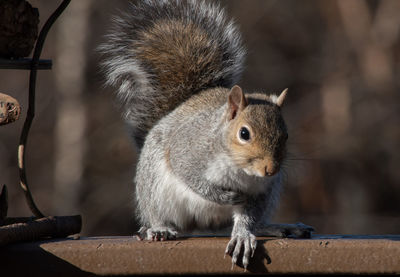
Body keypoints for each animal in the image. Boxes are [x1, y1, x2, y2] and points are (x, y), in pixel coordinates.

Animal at [99, 0, 312, 268]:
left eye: (286, 136)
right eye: (244, 133)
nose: (270, 170)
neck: (237, 167)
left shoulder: (262, 191)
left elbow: (247, 216)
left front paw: (243, 235)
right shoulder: (189, 151)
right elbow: (190, 176)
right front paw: (223, 196)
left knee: (235, 226)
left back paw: (274, 227)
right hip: (153, 188)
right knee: (157, 215)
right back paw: (158, 229)